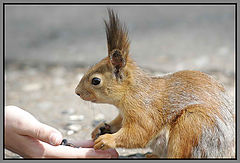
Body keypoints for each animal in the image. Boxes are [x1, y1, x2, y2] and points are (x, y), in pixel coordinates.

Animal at [75, 8, 234, 158]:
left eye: (96, 81)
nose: (77, 92)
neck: (131, 92)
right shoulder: (124, 114)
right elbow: (119, 122)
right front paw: (101, 128)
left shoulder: (144, 110)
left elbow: (140, 132)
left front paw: (107, 139)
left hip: (192, 125)